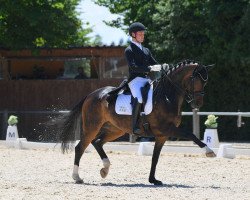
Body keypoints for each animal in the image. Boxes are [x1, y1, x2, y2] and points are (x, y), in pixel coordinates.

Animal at [57, 60, 216, 185]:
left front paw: (153, 180)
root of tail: (91, 95)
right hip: (92, 127)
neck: (167, 96)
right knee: (80, 147)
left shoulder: (162, 135)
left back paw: (105, 169)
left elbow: (155, 158)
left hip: (116, 129)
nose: (198, 104)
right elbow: (191, 135)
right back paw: (77, 177)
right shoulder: (166, 129)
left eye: (206, 82)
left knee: (97, 142)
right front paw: (209, 151)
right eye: (197, 80)